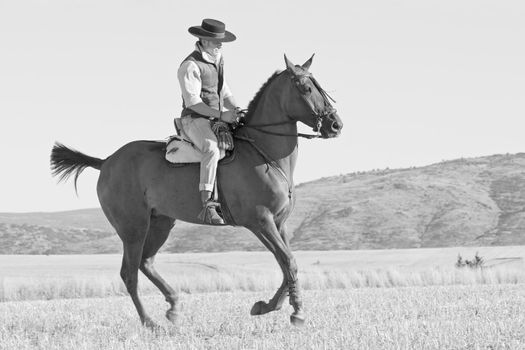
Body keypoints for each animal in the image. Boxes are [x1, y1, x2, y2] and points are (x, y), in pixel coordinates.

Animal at [51, 54, 342, 328]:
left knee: (146, 262)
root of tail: (107, 161)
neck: (263, 152)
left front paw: (266, 306)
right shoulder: (261, 222)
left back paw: (173, 306)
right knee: (129, 272)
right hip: (133, 228)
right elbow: (288, 262)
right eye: (305, 88)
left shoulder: (279, 223)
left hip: (161, 222)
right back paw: (150, 322)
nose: (335, 124)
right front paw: (297, 312)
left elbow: (287, 264)